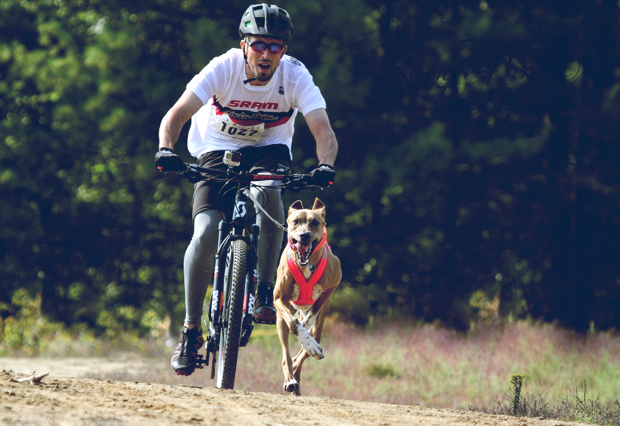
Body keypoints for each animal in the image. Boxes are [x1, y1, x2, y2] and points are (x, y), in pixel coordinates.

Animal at [274, 198, 342, 394]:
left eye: (315, 222)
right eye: (296, 221)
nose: (304, 235)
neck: (305, 264)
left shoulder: (332, 286)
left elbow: (310, 316)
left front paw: (308, 339)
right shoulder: (278, 299)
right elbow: (294, 324)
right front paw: (306, 339)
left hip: (321, 321)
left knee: (309, 343)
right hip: (280, 319)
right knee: (286, 352)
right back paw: (290, 379)